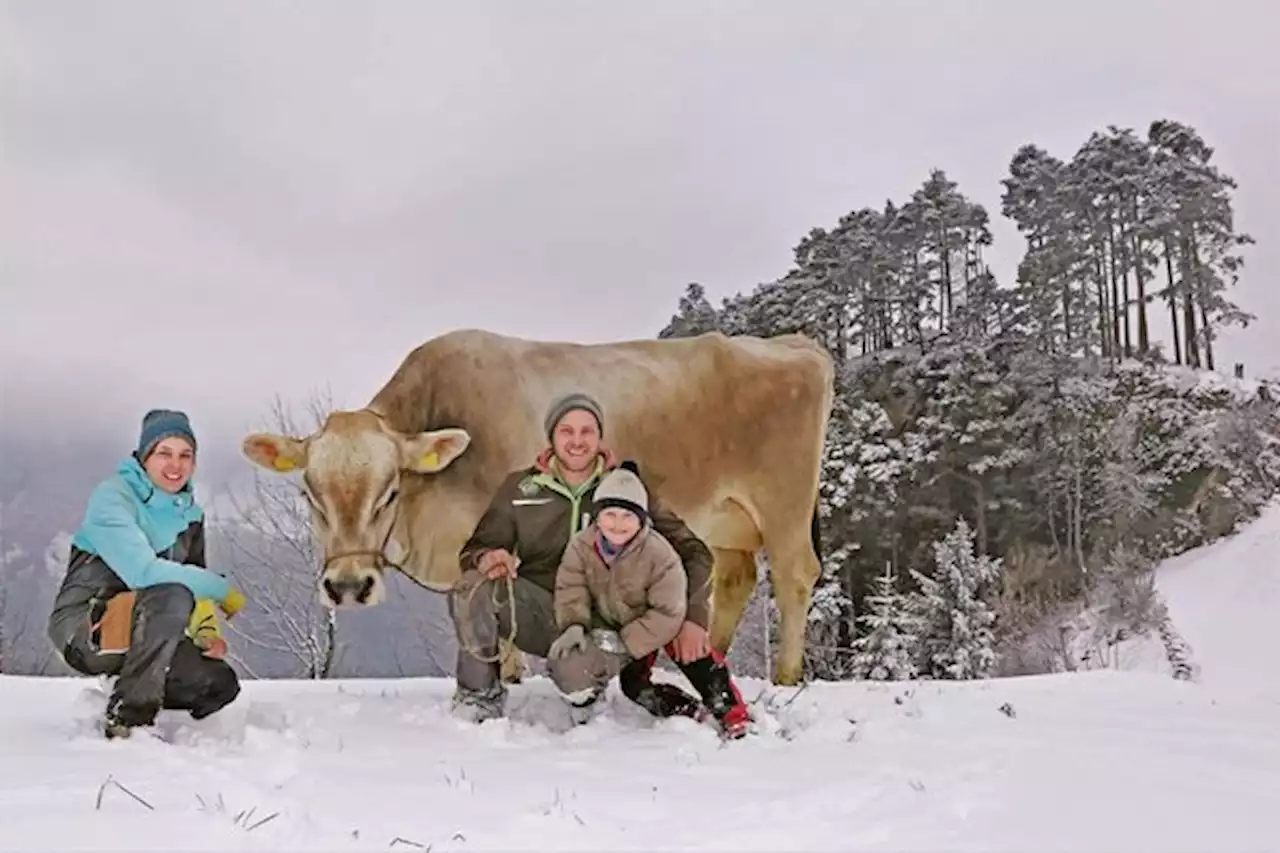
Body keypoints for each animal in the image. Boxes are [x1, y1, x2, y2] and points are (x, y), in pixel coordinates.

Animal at [243, 326, 834, 686]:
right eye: (309, 492)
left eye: (389, 490)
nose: (347, 586)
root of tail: (793, 344)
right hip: (728, 518)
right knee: (735, 579)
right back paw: (712, 655)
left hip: (783, 501)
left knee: (795, 574)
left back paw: (785, 678)